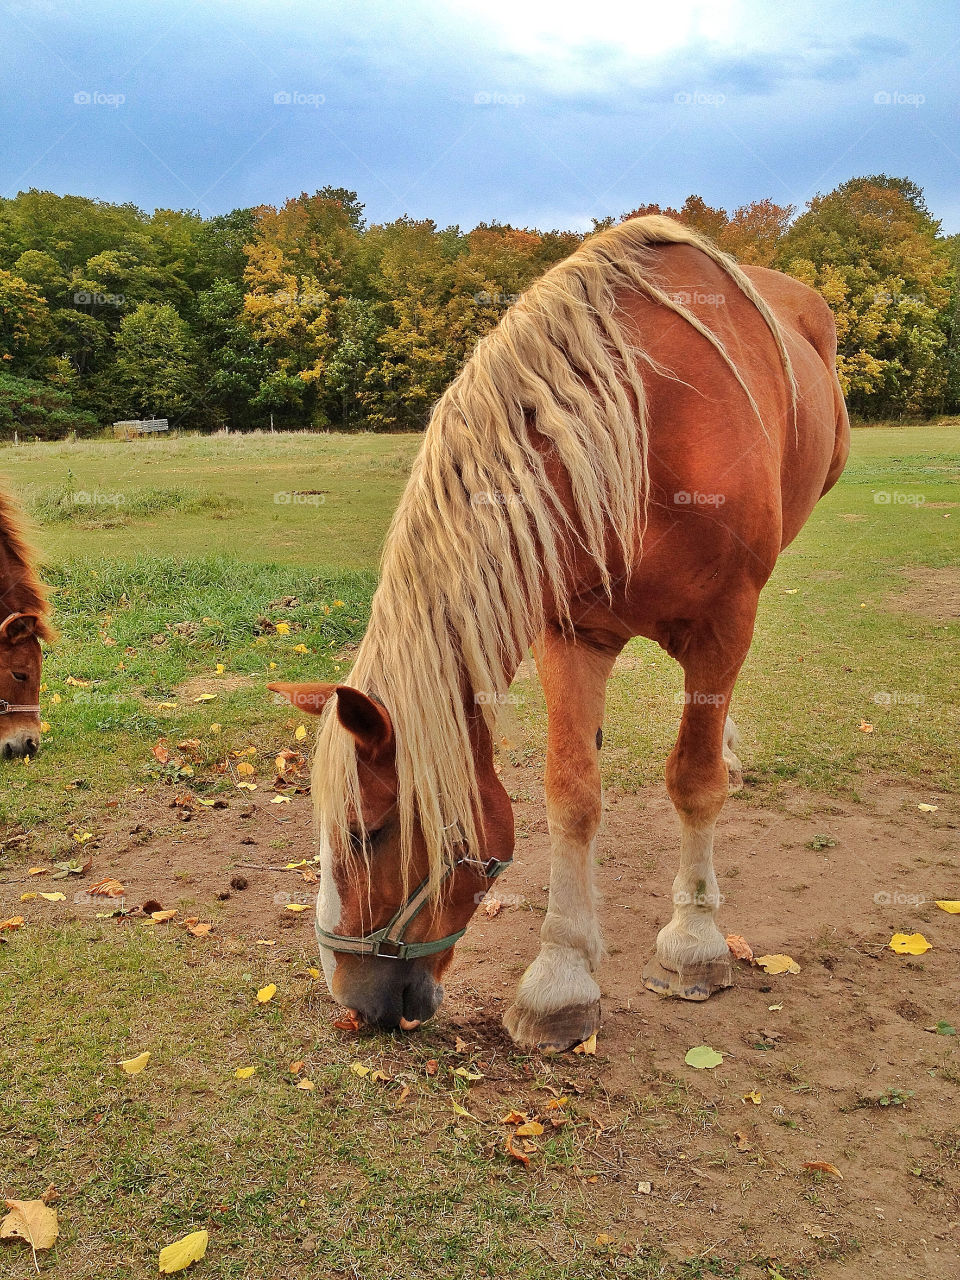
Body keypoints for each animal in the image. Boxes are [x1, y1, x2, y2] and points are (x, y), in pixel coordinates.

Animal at [271, 212, 849, 1049]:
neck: (647, 429)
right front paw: (561, 980)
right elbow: (571, 795)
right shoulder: (574, 634)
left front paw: (694, 944)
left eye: (364, 833)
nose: (350, 998)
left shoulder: (723, 622)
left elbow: (694, 781)